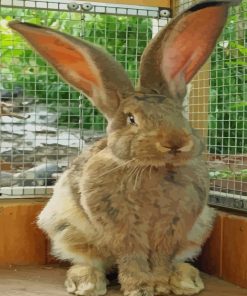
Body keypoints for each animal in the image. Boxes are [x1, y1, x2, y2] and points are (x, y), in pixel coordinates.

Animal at [9, 1, 241, 294]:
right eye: (131, 119)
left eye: (179, 113)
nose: (175, 142)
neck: (152, 169)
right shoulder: (121, 226)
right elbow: (132, 255)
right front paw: (141, 287)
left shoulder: (174, 226)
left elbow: (162, 256)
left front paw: (161, 284)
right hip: (65, 228)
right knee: (87, 261)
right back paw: (86, 282)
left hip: (198, 230)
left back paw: (185, 279)